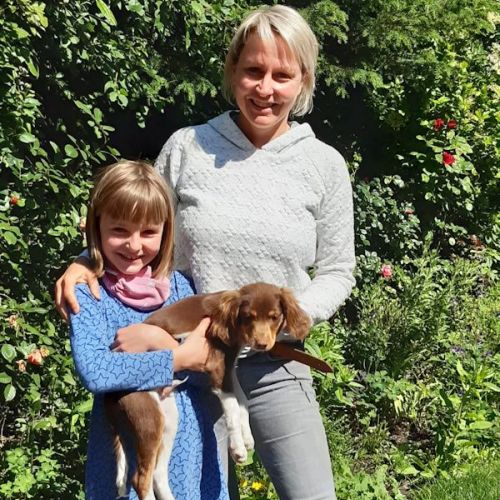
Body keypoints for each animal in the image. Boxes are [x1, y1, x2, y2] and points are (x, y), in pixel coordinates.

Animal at [104, 282, 311, 500]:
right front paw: (237, 447)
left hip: (167, 418)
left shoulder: (229, 369)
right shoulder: (217, 367)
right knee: (140, 479)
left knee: (157, 473)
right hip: (148, 418)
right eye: (248, 317)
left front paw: (247, 437)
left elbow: (243, 402)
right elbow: (232, 408)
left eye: (274, 317)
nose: (261, 344)